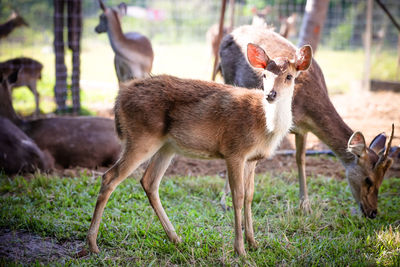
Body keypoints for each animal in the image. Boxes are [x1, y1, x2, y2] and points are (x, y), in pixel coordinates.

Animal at [220, 24, 398, 219]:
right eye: (368, 180)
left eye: (382, 180)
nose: (372, 212)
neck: (305, 109)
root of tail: (229, 34)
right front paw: (228, 202)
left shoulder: (302, 130)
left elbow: (301, 159)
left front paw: (305, 206)